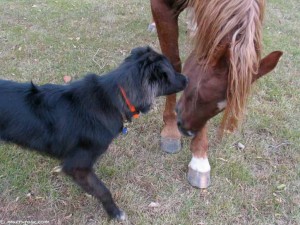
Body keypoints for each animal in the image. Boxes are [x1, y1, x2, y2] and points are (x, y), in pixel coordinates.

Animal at [0, 46, 188, 221]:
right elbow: (103, 190)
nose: (188, 79)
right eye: (171, 72)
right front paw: (114, 212)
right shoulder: (77, 167)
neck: (114, 99)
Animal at [151, 0, 282, 188]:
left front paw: (199, 159)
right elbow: (173, 62)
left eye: (221, 108)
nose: (187, 131)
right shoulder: (162, 7)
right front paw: (170, 130)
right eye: (197, 94)